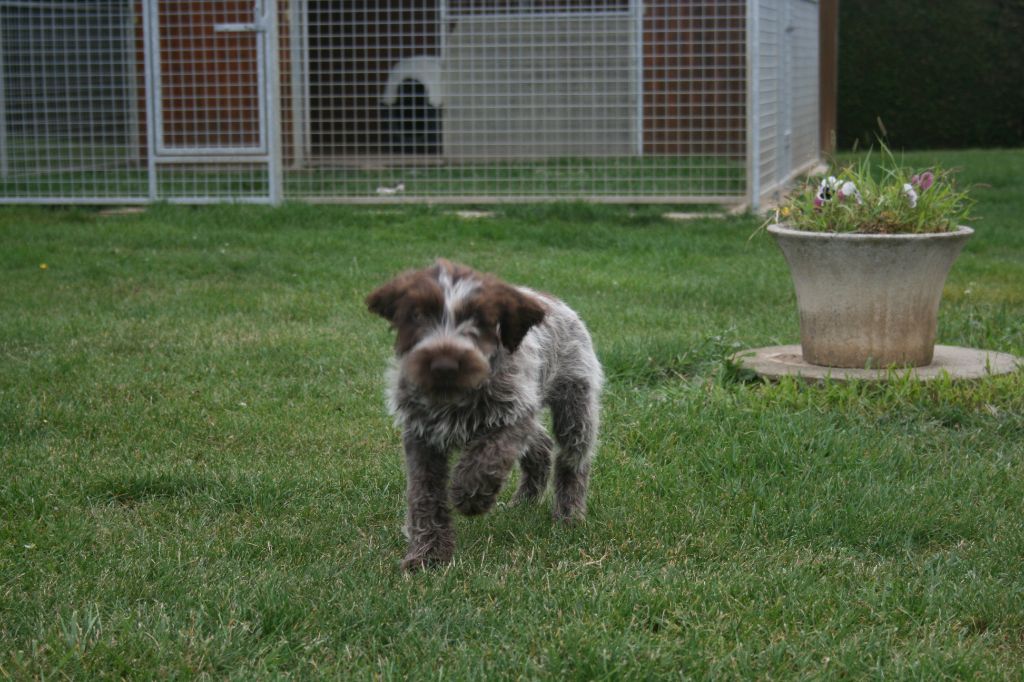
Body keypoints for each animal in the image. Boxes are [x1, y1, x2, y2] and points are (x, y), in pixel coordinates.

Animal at [366, 259, 603, 570]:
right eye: (417, 315)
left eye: (478, 319)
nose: (444, 366)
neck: (455, 396)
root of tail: (553, 300)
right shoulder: (421, 436)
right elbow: (424, 497)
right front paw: (428, 555)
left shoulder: (513, 415)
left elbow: (488, 457)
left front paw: (470, 495)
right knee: (541, 445)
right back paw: (525, 501)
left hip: (575, 405)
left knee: (572, 460)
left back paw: (569, 515)